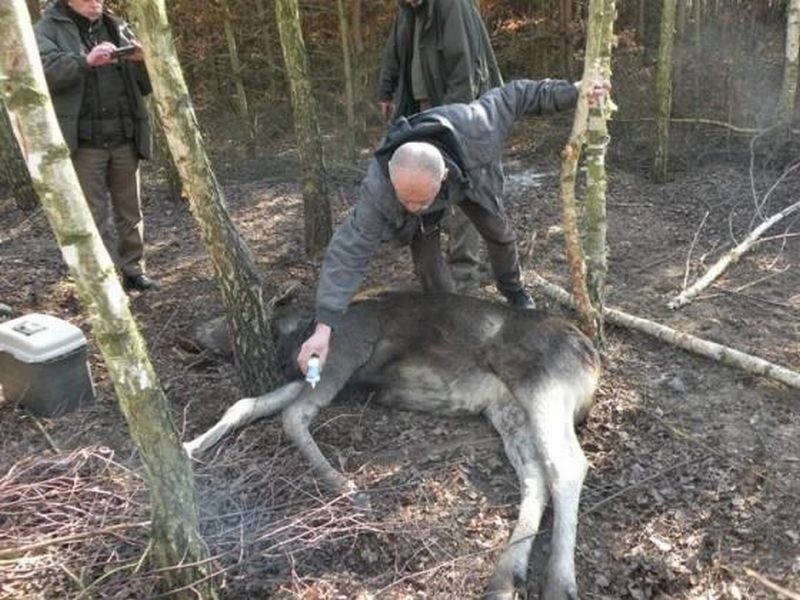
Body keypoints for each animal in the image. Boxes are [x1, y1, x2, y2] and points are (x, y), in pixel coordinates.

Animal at [186, 292, 600, 600]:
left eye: (221, 319)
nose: (192, 333)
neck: (293, 339)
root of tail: (591, 356)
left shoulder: (341, 358)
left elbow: (292, 417)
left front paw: (347, 488)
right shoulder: (314, 377)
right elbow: (247, 405)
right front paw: (191, 445)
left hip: (544, 384)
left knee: (568, 465)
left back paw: (558, 582)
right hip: (509, 408)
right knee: (535, 475)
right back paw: (505, 577)